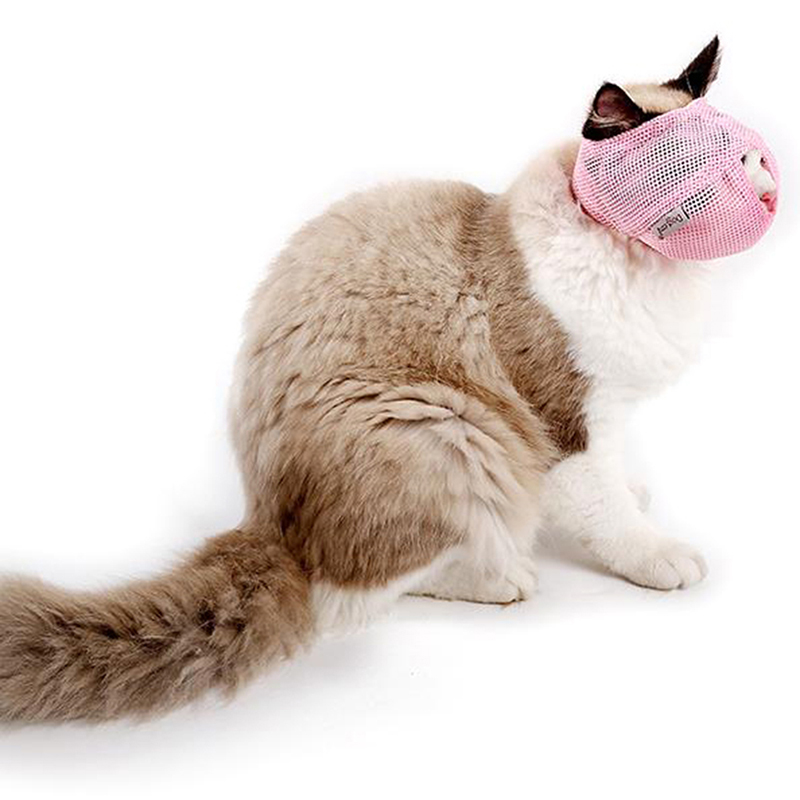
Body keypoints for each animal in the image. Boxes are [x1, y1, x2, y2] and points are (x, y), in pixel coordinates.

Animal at [0, 37, 777, 723]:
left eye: (750, 152)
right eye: (700, 166)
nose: (768, 191)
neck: (649, 267)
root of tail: (267, 524)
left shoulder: (606, 409)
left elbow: (616, 480)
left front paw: (637, 492)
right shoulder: (564, 420)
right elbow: (607, 511)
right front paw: (657, 552)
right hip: (449, 429)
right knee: (362, 593)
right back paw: (504, 578)